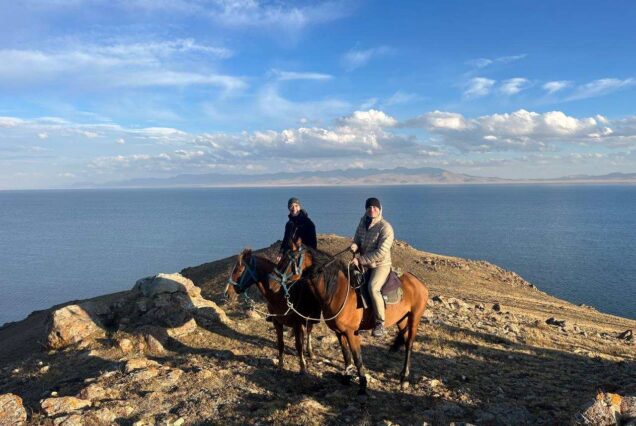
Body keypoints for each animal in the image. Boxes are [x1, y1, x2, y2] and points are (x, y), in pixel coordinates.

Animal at [280, 241, 430, 394]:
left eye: (290, 260)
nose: (277, 277)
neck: (337, 292)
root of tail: (417, 282)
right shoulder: (339, 332)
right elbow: (346, 355)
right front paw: (346, 379)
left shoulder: (351, 332)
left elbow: (357, 357)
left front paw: (362, 385)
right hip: (402, 320)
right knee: (405, 342)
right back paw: (402, 376)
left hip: (414, 318)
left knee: (409, 344)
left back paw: (405, 378)